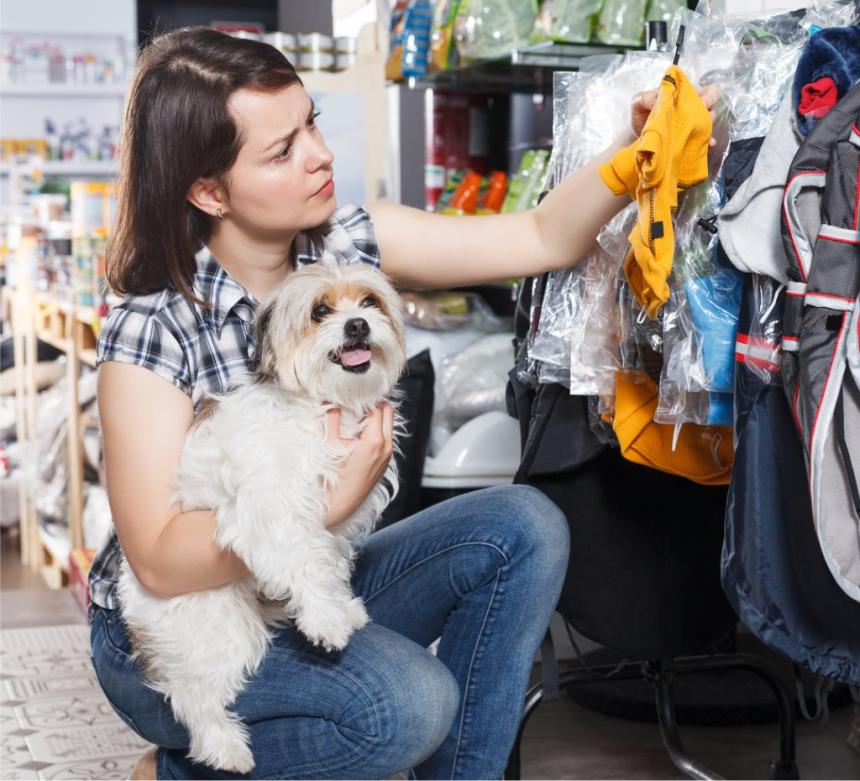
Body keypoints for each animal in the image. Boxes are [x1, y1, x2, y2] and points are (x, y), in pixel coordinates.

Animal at [116, 258, 408, 772]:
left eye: (369, 301)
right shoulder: (267, 509)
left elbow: (326, 561)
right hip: (220, 624)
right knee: (191, 697)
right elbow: (302, 557)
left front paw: (339, 605)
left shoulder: (333, 524)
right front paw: (325, 620)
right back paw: (224, 746)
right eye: (320, 311)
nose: (357, 324)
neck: (320, 404)